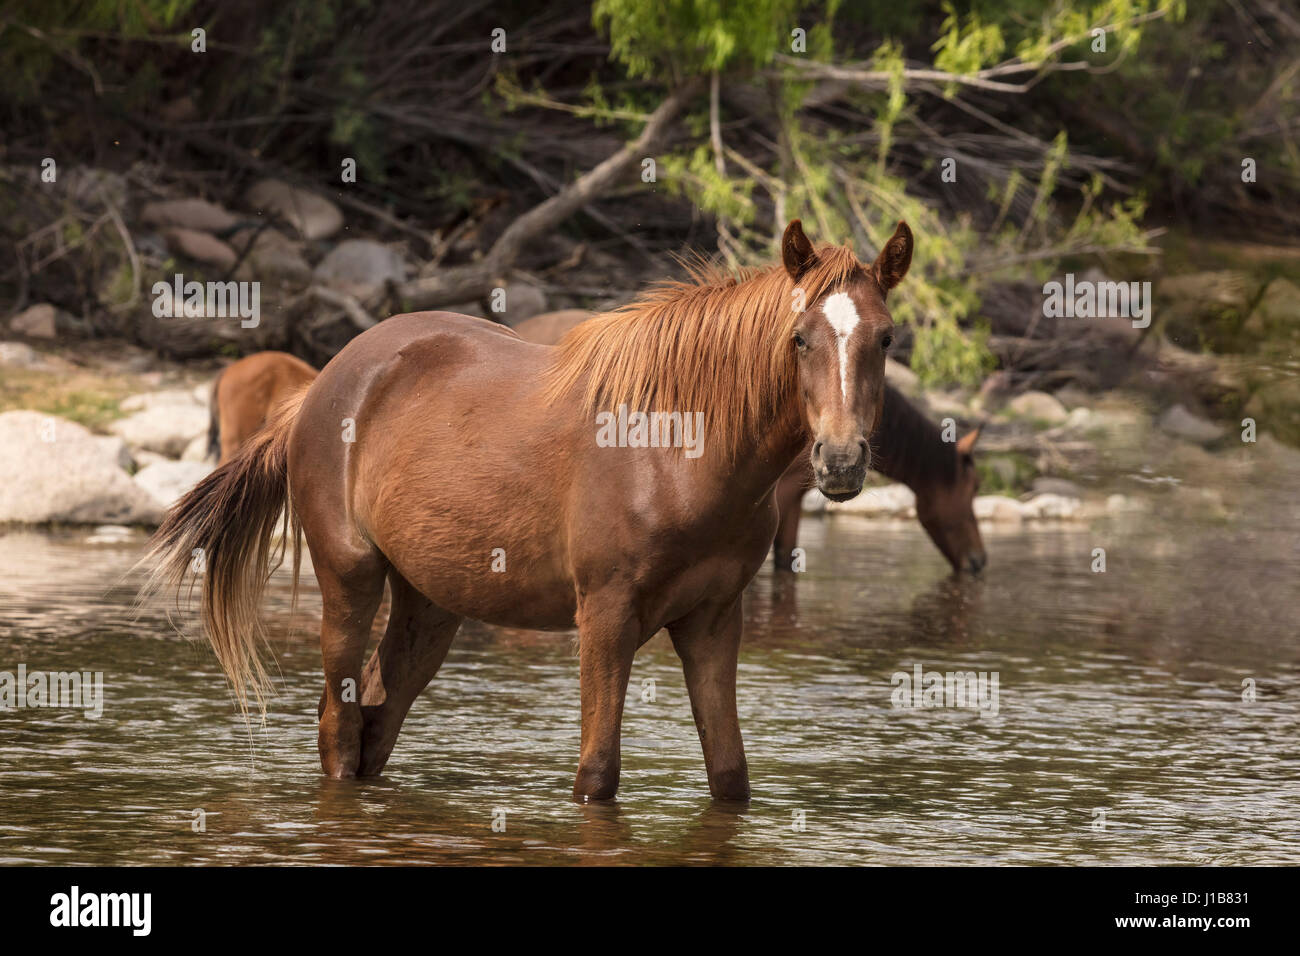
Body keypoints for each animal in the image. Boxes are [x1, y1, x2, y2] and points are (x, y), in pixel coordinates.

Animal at [144, 221, 915, 806]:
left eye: (885, 338)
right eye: (799, 338)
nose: (841, 460)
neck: (678, 451)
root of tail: (320, 388)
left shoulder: (714, 620)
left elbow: (729, 779)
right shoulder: (605, 617)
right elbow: (597, 777)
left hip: (430, 604)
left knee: (375, 722)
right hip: (350, 579)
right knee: (339, 726)